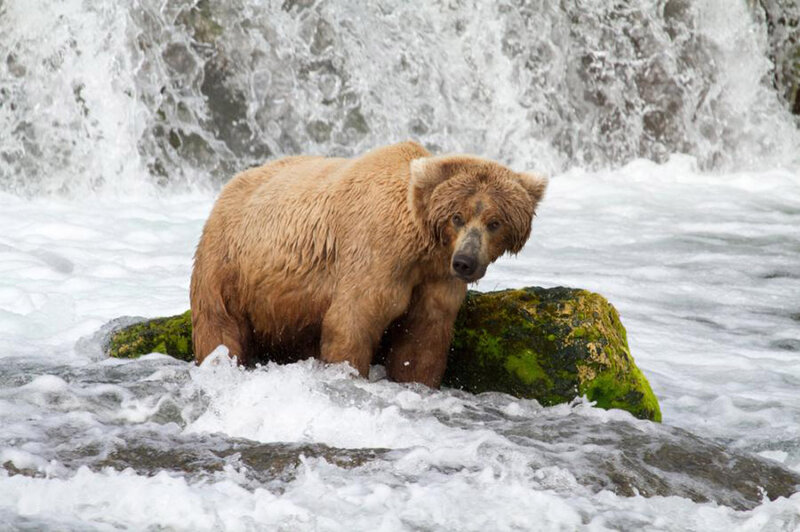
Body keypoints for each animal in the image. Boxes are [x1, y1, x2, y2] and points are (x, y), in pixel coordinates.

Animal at [190, 141, 547, 387]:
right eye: (457, 217)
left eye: (495, 222)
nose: (465, 262)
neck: (420, 247)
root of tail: (230, 185)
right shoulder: (376, 254)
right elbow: (352, 321)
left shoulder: (436, 279)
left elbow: (424, 338)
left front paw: (415, 380)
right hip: (228, 265)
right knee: (219, 329)